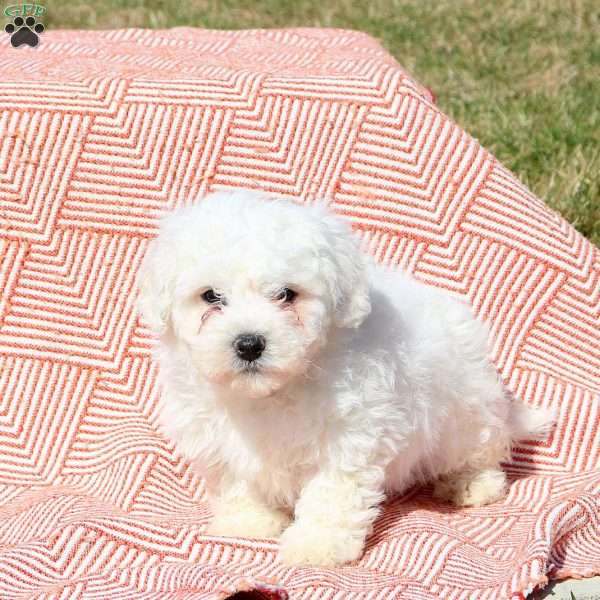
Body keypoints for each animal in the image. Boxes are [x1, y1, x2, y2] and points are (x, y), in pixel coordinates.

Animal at [138, 191, 552, 568]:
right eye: (211, 297)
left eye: (287, 294)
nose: (249, 343)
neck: (271, 394)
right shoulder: (217, 438)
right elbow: (238, 482)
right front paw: (250, 522)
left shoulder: (349, 434)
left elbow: (331, 493)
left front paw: (316, 544)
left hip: (465, 412)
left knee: (482, 450)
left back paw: (470, 483)